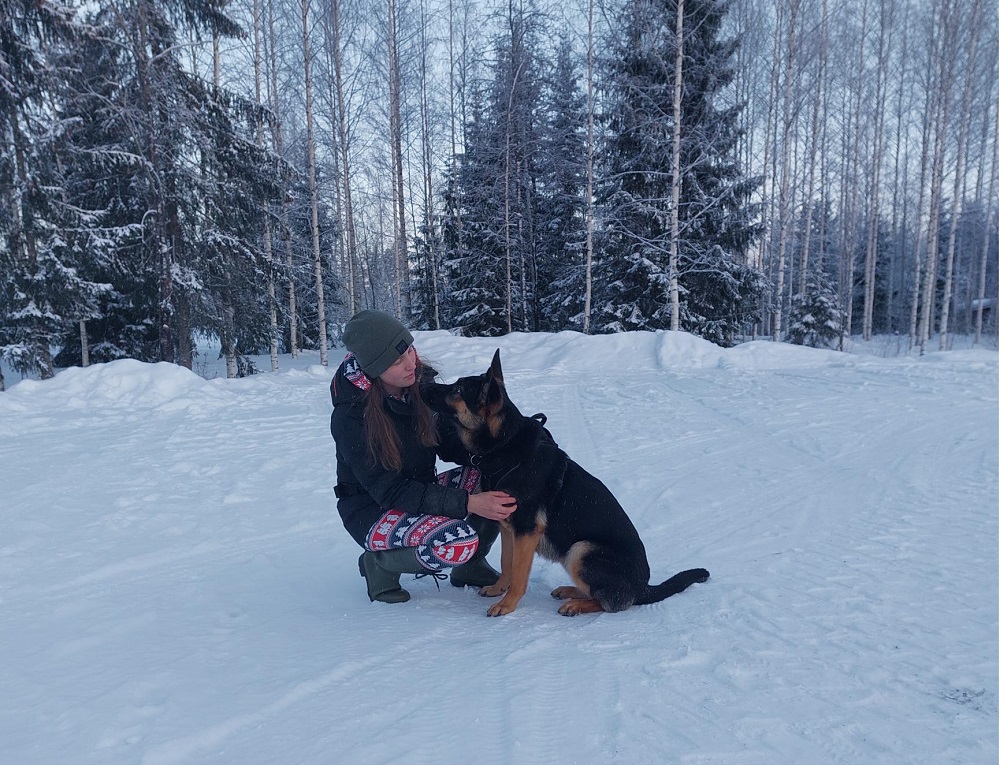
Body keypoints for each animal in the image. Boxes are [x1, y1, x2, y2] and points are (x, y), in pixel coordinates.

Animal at [422, 350, 712, 616]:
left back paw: (576, 604)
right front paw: (498, 589)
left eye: (458, 389)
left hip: (580, 549)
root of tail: (644, 588)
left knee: (612, 603)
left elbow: (518, 574)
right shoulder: (508, 528)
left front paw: (507, 604)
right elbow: (506, 564)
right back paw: (570, 591)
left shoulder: (526, 531)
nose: (424, 383)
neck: (504, 446)